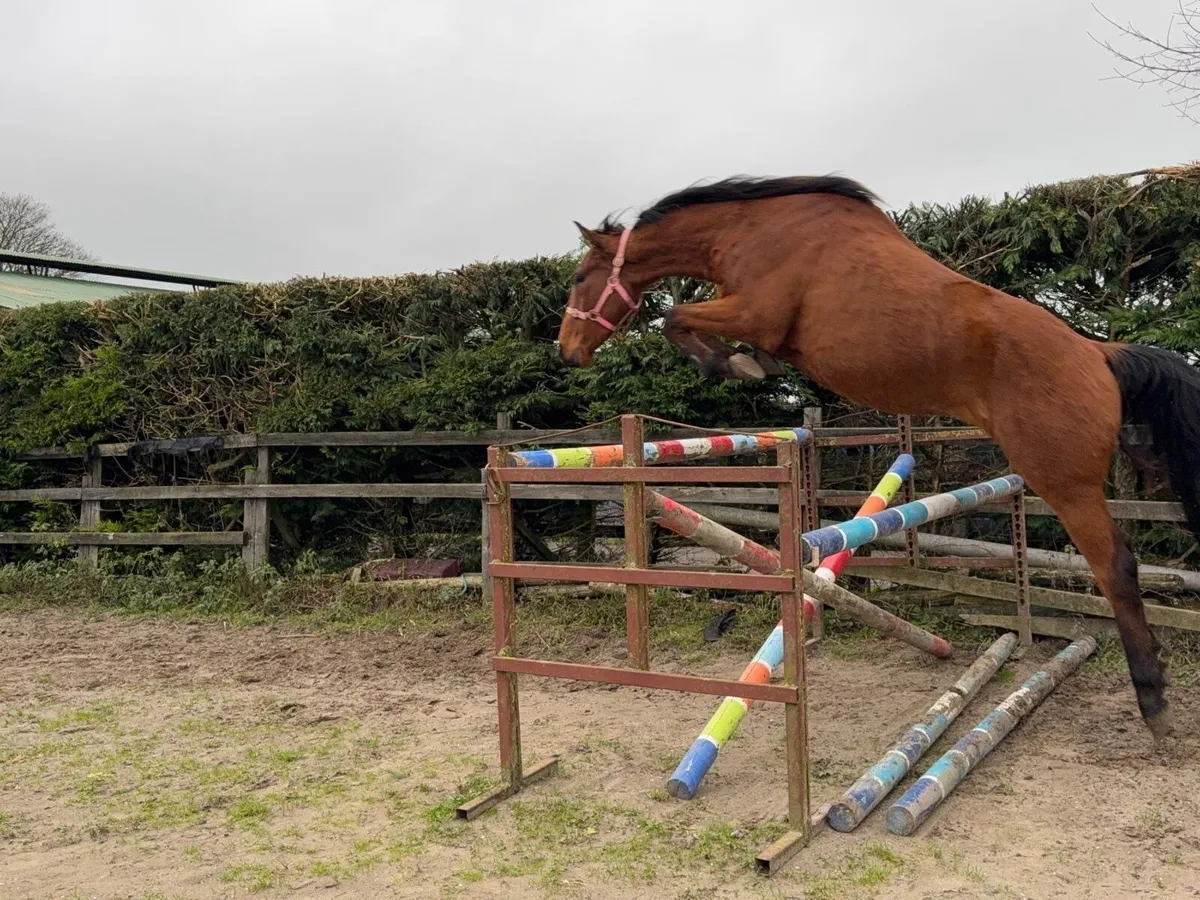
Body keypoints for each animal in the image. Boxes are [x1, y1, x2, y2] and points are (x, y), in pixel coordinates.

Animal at [557, 174, 1200, 740]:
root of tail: (1100, 354)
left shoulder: (755, 312)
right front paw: (745, 362)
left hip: (1064, 481)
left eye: (582, 275)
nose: (566, 351)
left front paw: (735, 363)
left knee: (1116, 569)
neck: (750, 230)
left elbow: (676, 319)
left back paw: (1155, 705)